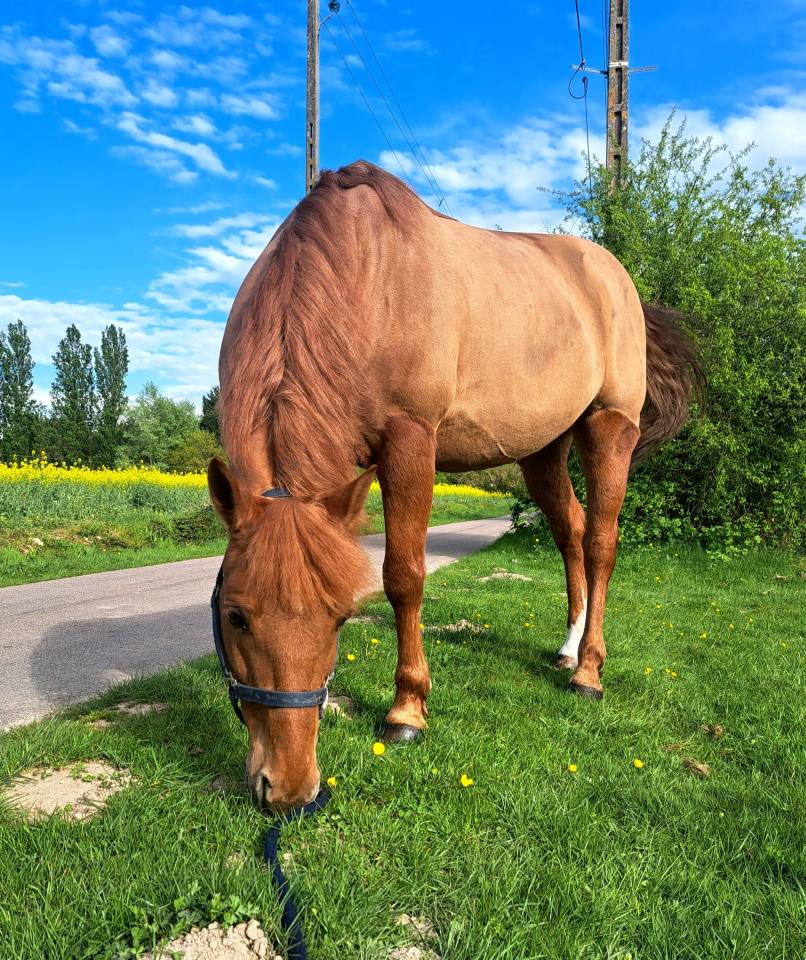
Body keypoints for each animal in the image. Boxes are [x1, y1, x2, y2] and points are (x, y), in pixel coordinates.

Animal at [208, 161, 699, 809]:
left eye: (341, 617)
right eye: (236, 615)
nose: (289, 788)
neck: (359, 280)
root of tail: (616, 278)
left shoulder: (411, 441)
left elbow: (404, 577)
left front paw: (407, 710)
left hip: (609, 427)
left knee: (600, 543)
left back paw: (588, 672)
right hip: (543, 451)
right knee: (569, 530)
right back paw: (567, 649)